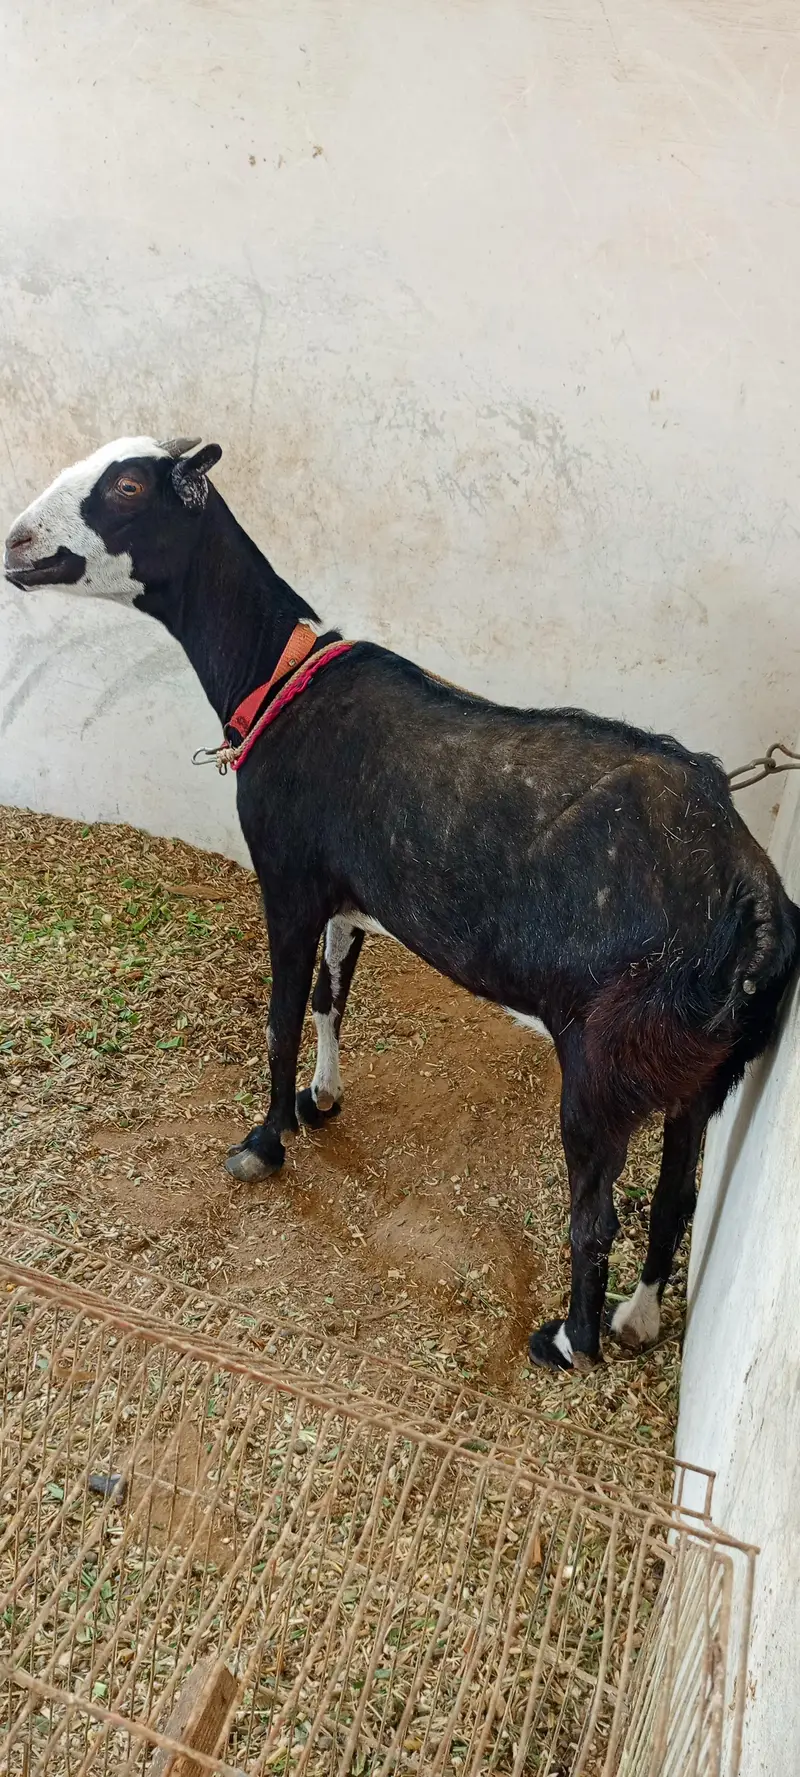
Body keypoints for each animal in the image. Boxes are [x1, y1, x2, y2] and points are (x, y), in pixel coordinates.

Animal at [5, 435, 799, 1372]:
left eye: (127, 485)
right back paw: (635, 1319)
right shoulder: (349, 898)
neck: (280, 680)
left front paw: (263, 1141)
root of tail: (751, 901)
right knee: (677, 1190)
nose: (17, 544)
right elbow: (329, 999)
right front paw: (320, 1100)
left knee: (597, 1214)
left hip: (606, 1058)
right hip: (702, 1070)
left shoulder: (289, 880)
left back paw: (568, 1339)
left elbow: (278, 1016)